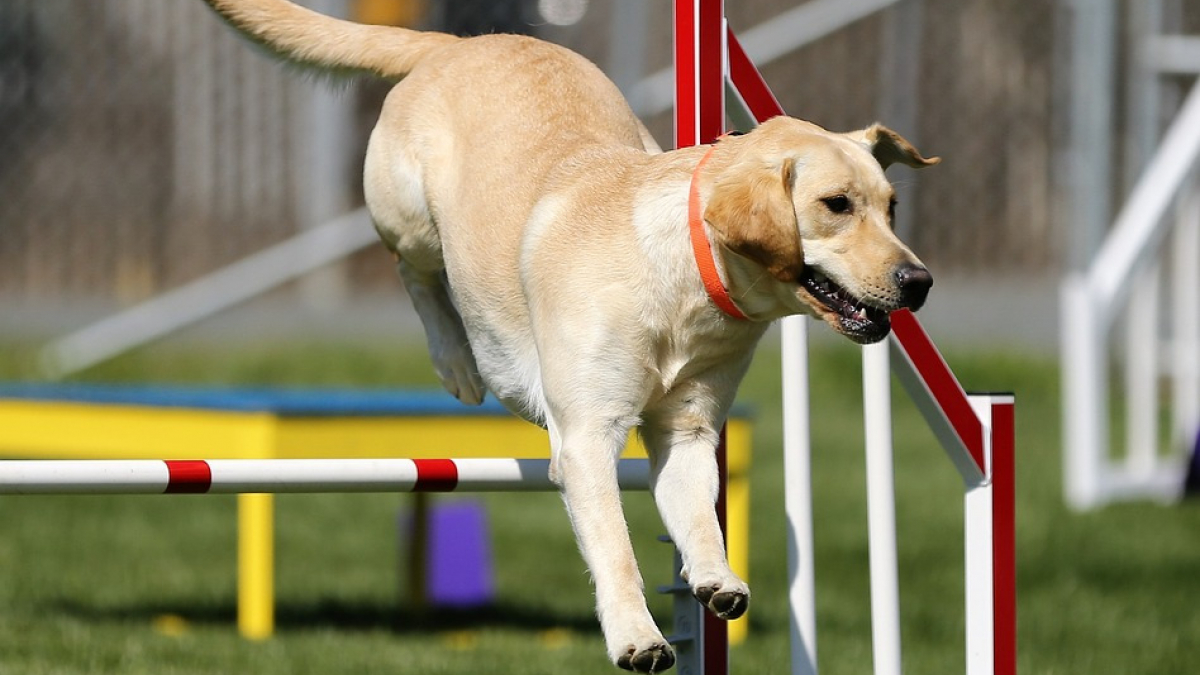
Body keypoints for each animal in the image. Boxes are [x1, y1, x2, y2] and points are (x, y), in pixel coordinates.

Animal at [204, 2, 936, 667]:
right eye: (836, 205)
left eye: (892, 207)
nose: (920, 281)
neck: (683, 280)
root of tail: (460, 43)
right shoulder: (587, 437)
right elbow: (615, 546)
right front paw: (638, 638)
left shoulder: (688, 431)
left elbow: (701, 518)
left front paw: (715, 578)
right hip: (406, 215)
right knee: (416, 274)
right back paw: (457, 362)